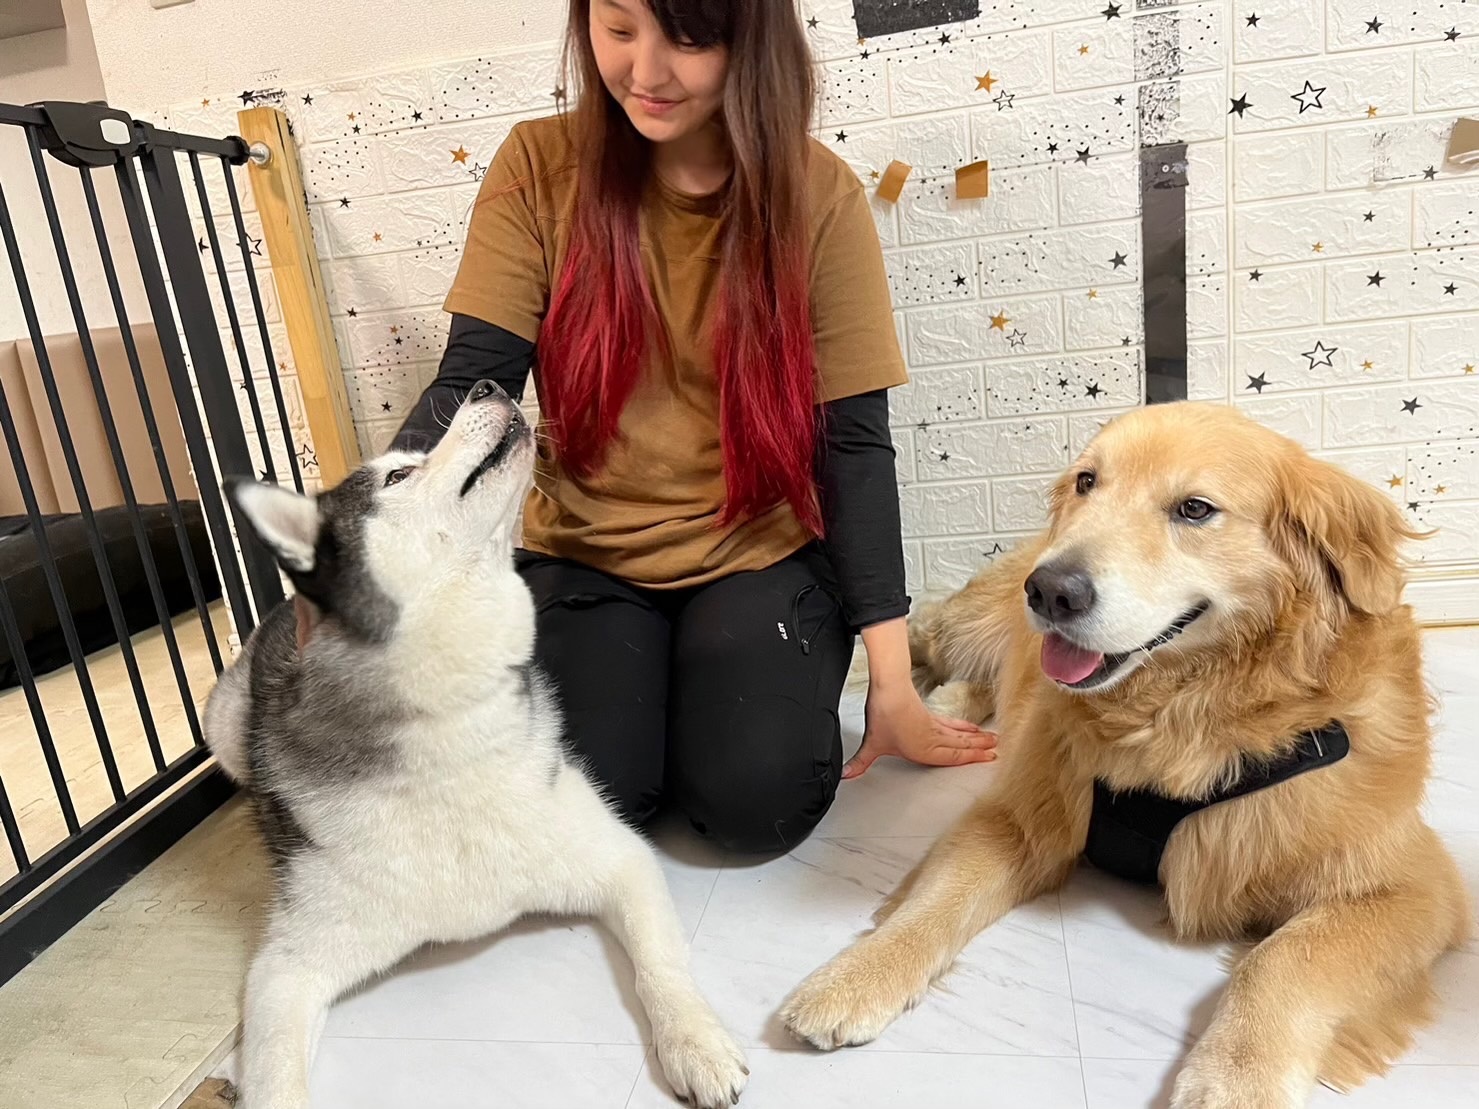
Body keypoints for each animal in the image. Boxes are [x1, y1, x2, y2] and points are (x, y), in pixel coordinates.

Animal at [202, 384, 745, 1109]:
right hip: (222, 721)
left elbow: (662, 966)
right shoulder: (285, 970)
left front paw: (694, 1040)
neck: (452, 731)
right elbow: (273, 1080)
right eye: (398, 476)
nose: (487, 388)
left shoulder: (621, 860)